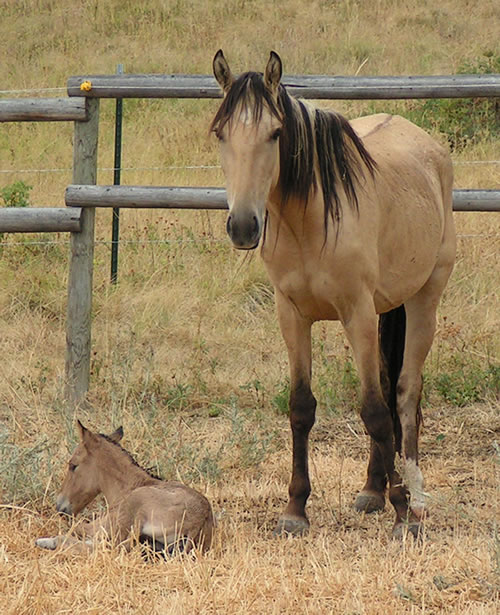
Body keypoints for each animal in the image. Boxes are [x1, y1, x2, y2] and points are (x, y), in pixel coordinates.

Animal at [36, 422, 213, 556]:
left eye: (73, 465)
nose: (60, 506)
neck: (130, 485)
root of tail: (199, 522)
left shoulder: (107, 523)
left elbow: (77, 528)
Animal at [211, 49, 458, 540]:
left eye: (275, 133)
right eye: (221, 133)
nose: (244, 226)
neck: (309, 222)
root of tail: (431, 148)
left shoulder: (356, 313)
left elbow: (375, 411)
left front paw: (403, 512)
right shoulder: (291, 315)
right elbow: (301, 407)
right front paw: (295, 509)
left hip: (424, 299)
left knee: (405, 393)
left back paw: (416, 497)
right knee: (390, 385)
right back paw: (372, 489)